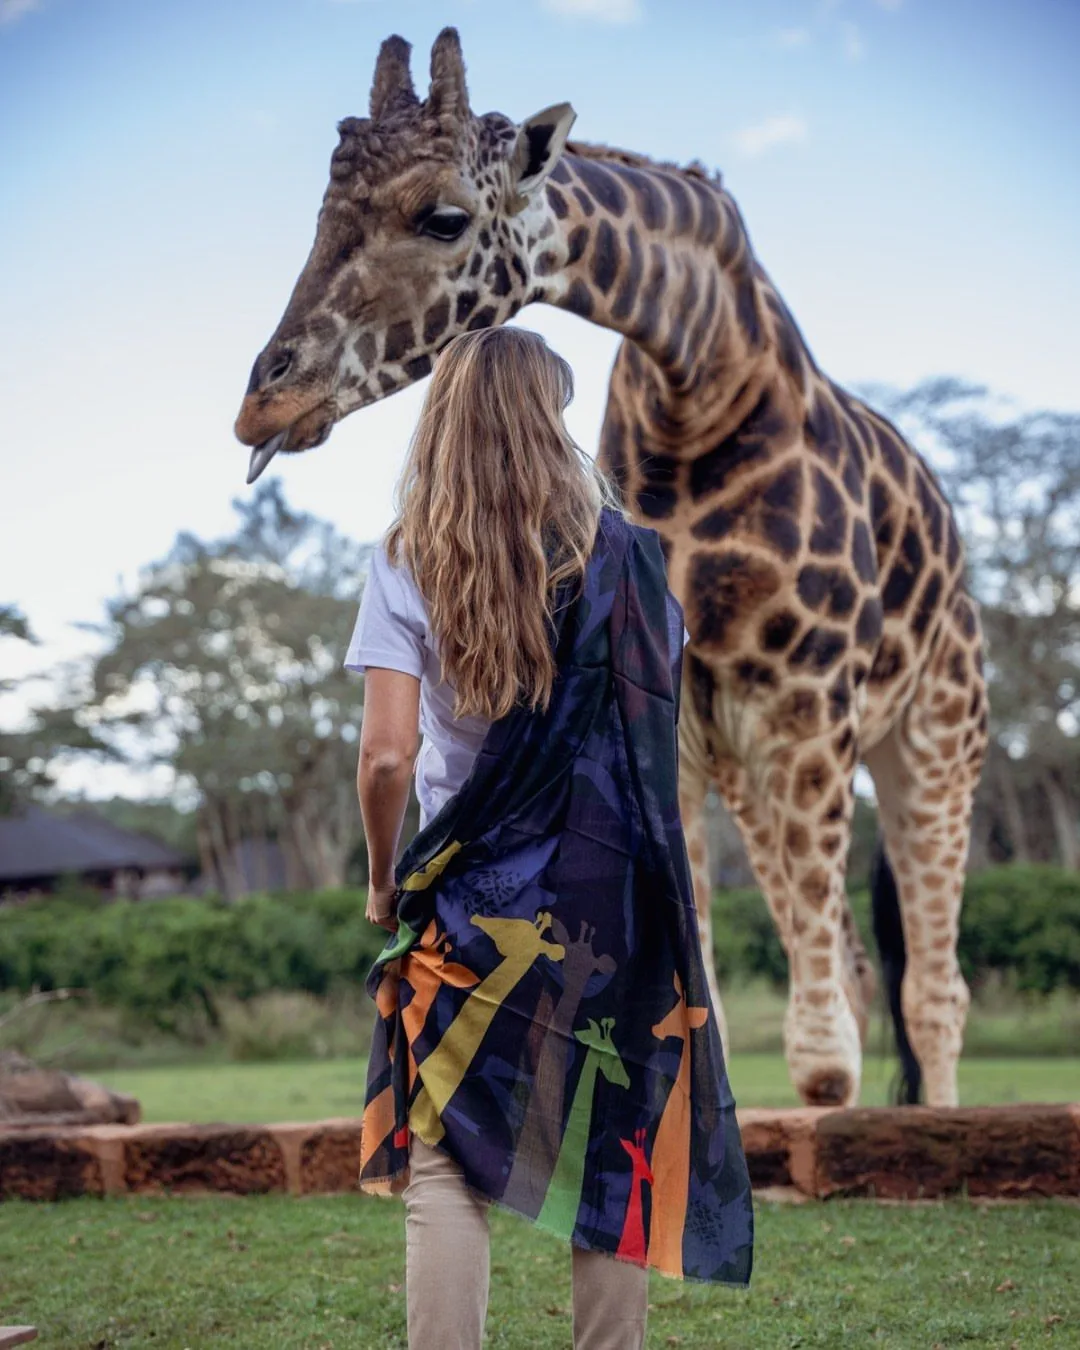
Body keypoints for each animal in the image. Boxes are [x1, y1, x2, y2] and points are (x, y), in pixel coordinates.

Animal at [234, 29, 988, 1108]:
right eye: (321, 214)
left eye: (443, 216)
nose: (263, 401)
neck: (698, 383)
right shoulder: (684, 714)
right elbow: (703, 987)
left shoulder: (808, 699)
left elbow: (822, 1063)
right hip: (761, 758)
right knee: (856, 960)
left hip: (936, 730)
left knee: (932, 989)